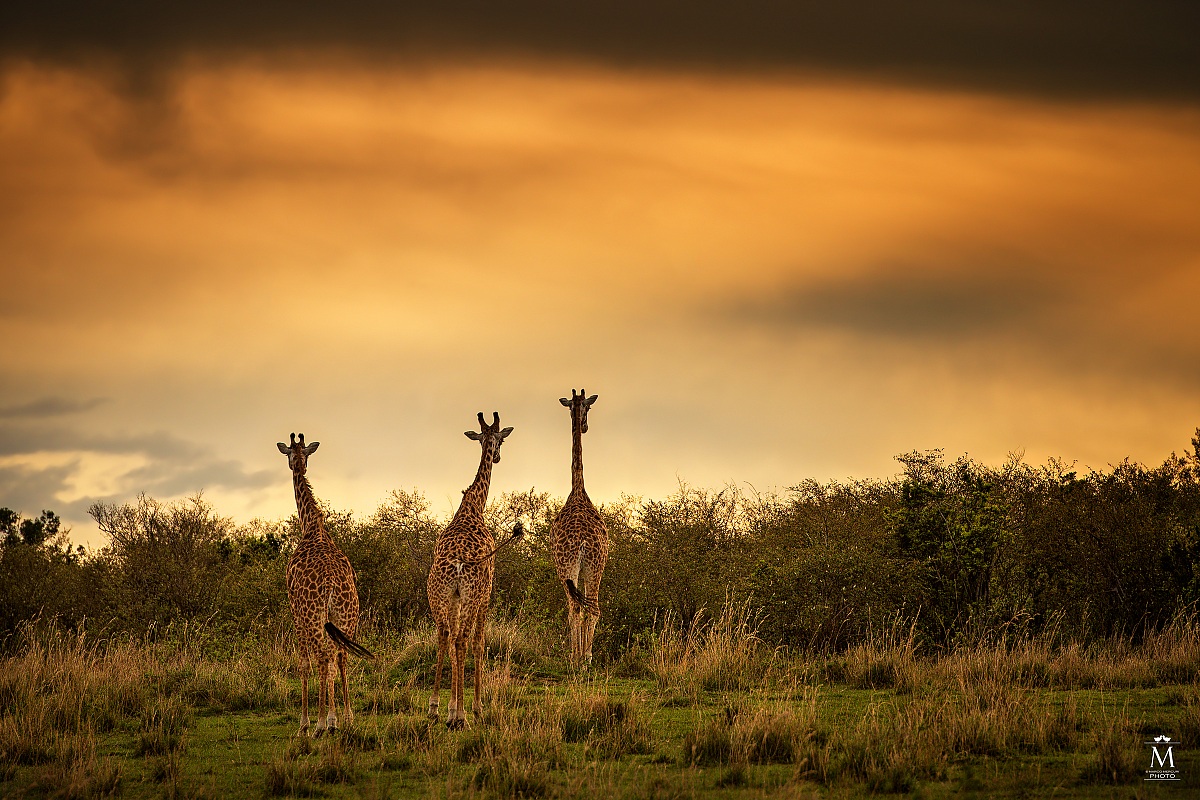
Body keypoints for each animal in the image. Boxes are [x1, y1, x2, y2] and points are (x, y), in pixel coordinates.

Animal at [277, 432, 373, 738]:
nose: (295, 464)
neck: (311, 527)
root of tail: (331, 584)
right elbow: (336, 661)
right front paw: (341, 717)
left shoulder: (295, 612)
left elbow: (304, 663)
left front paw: (305, 723)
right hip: (347, 615)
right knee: (340, 656)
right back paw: (345, 718)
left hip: (315, 615)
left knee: (322, 658)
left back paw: (321, 723)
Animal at [426, 412, 517, 730]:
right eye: (501, 439)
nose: (499, 456)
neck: (473, 506)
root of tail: (456, 566)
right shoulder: (487, 590)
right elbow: (480, 643)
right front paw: (475, 707)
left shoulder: (454, 597)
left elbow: (451, 638)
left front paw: (450, 706)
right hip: (472, 594)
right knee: (463, 639)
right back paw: (464, 716)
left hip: (438, 594)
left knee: (445, 635)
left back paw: (435, 709)